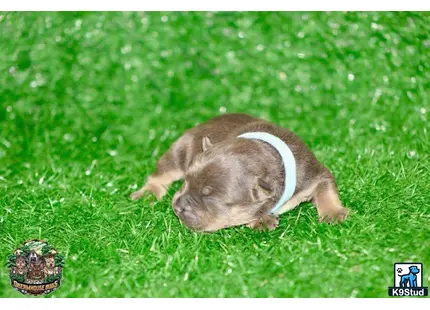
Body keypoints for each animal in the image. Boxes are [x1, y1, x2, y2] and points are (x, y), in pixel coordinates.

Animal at [131, 114, 350, 232]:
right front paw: (261, 219)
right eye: (186, 182)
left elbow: (326, 190)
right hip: (180, 149)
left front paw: (333, 213)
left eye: (210, 198)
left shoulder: (314, 174)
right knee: (161, 173)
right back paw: (148, 192)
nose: (177, 206)